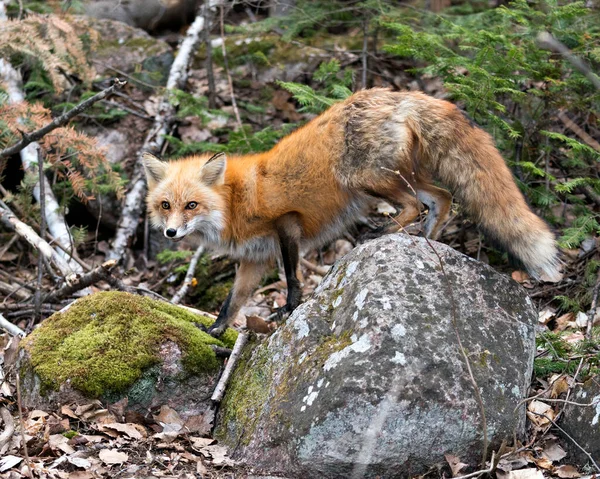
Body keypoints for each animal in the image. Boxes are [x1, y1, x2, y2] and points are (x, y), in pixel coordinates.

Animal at [143, 88, 560, 336]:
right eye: (166, 205)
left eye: (192, 205)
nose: (170, 233)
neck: (234, 202)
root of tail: (395, 94)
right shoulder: (254, 260)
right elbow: (232, 302)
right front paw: (213, 331)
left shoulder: (286, 223)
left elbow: (292, 277)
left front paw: (289, 309)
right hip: (404, 177)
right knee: (442, 198)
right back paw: (427, 241)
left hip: (363, 179)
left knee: (414, 204)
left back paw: (382, 233)